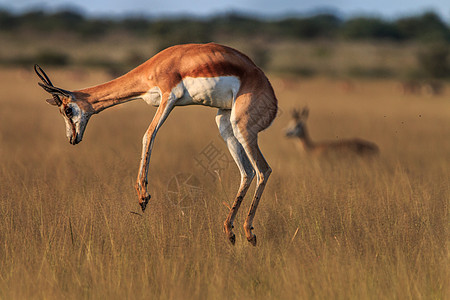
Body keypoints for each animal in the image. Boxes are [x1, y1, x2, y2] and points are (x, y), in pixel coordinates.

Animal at [34, 42, 278, 246]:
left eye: (68, 110)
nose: (72, 138)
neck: (157, 65)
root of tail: (272, 98)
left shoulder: (169, 97)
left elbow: (148, 135)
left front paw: (143, 196)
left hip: (241, 127)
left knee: (263, 170)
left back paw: (249, 233)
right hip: (224, 123)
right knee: (247, 172)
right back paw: (230, 231)